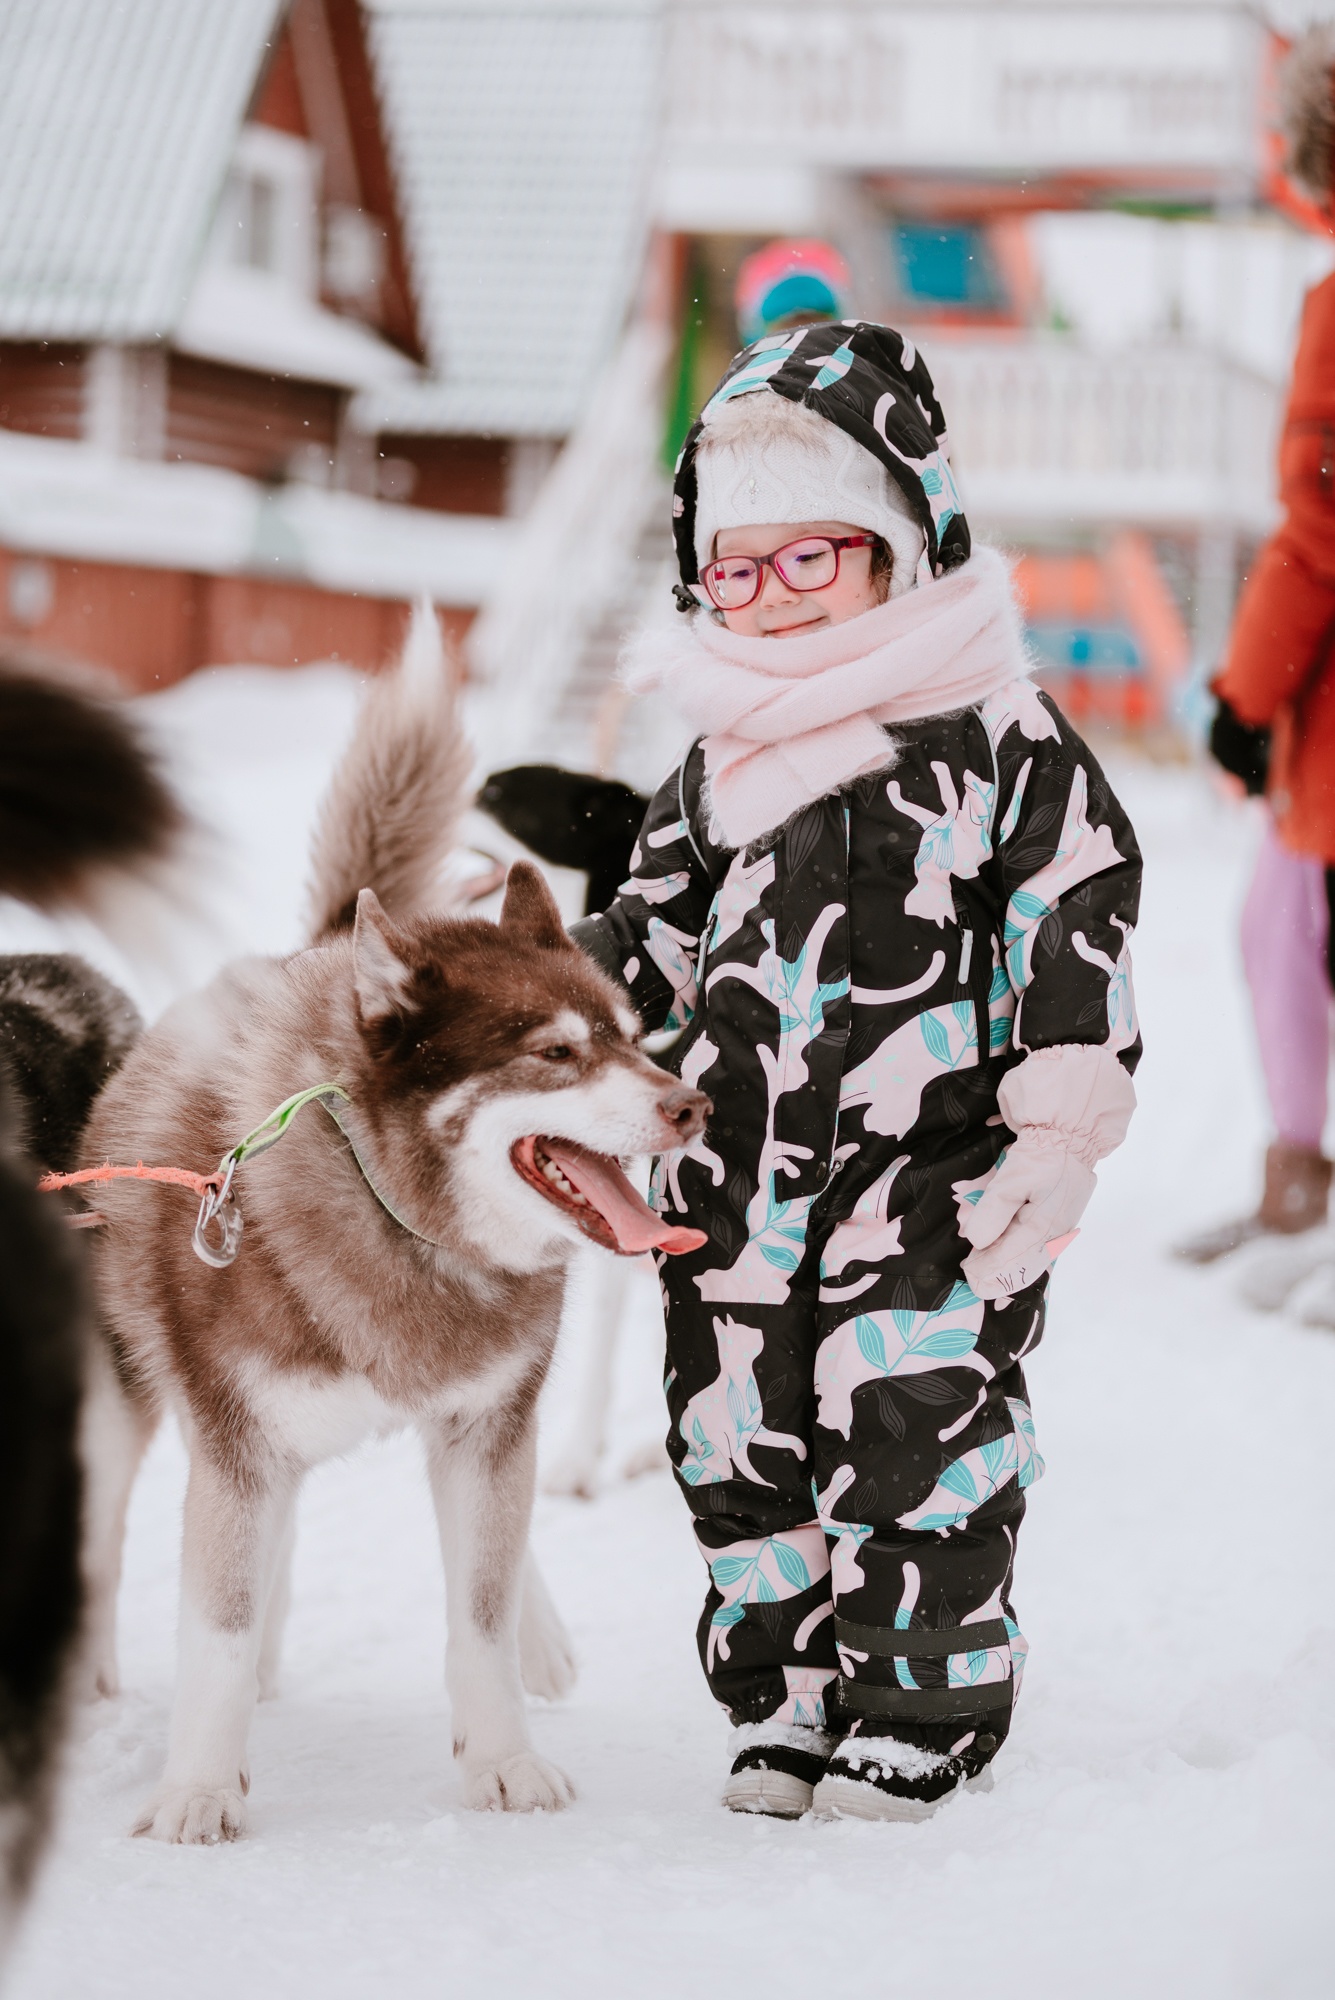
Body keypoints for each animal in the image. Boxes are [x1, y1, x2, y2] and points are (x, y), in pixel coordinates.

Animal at [82, 608, 710, 1843]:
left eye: (632, 1033)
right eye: (554, 1052)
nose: (690, 1103)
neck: (400, 1224)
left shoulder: (484, 1423)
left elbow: (480, 1607)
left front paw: (502, 1757)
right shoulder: (237, 1443)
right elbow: (216, 1627)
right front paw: (198, 1787)